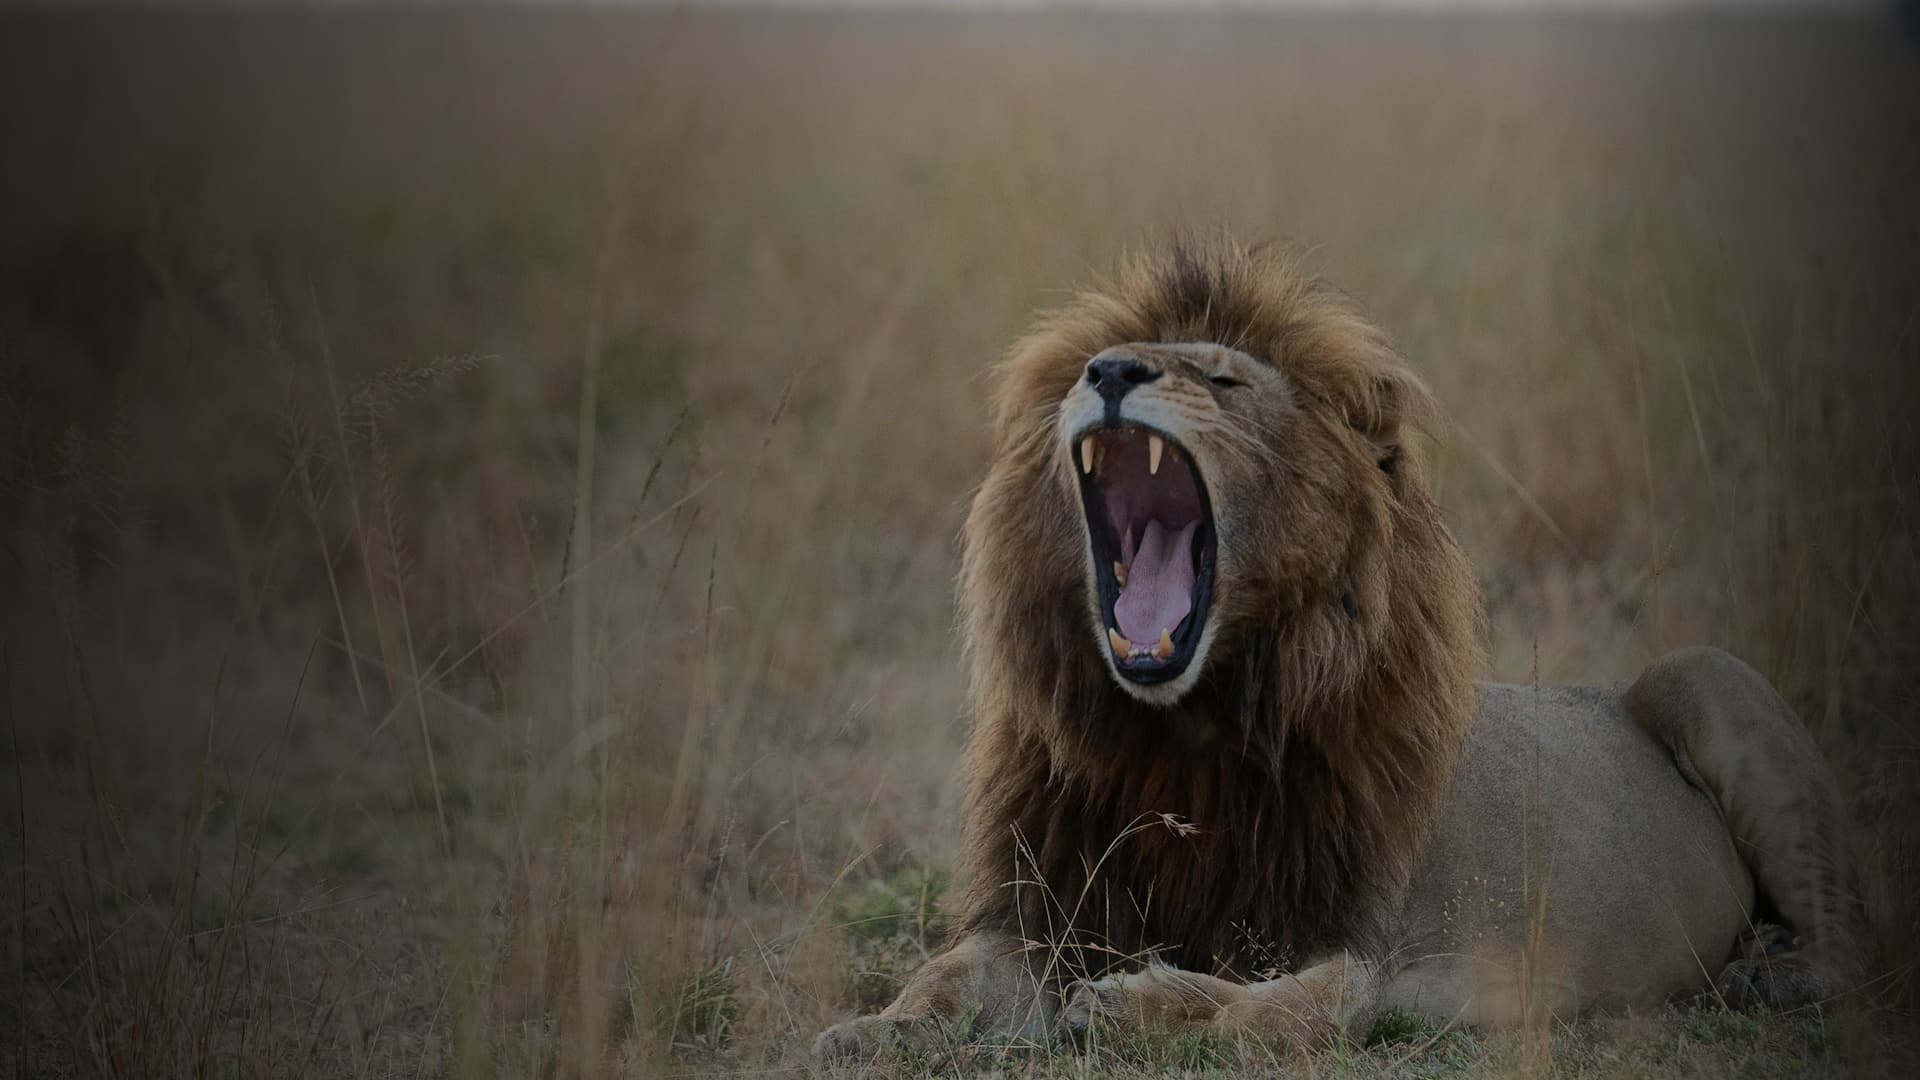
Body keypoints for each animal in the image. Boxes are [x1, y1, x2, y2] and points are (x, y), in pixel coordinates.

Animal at [813, 236, 1864, 1064]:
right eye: (1088, 369)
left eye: (1223, 378)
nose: (1108, 372)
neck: (1178, 739)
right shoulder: (1052, 906)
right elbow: (946, 974)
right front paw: (876, 1029)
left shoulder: (1384, 951)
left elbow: (1300, 1011)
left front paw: (1133, 1009)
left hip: (1711, 677)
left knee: (1857, 933)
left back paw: (1770, 972)